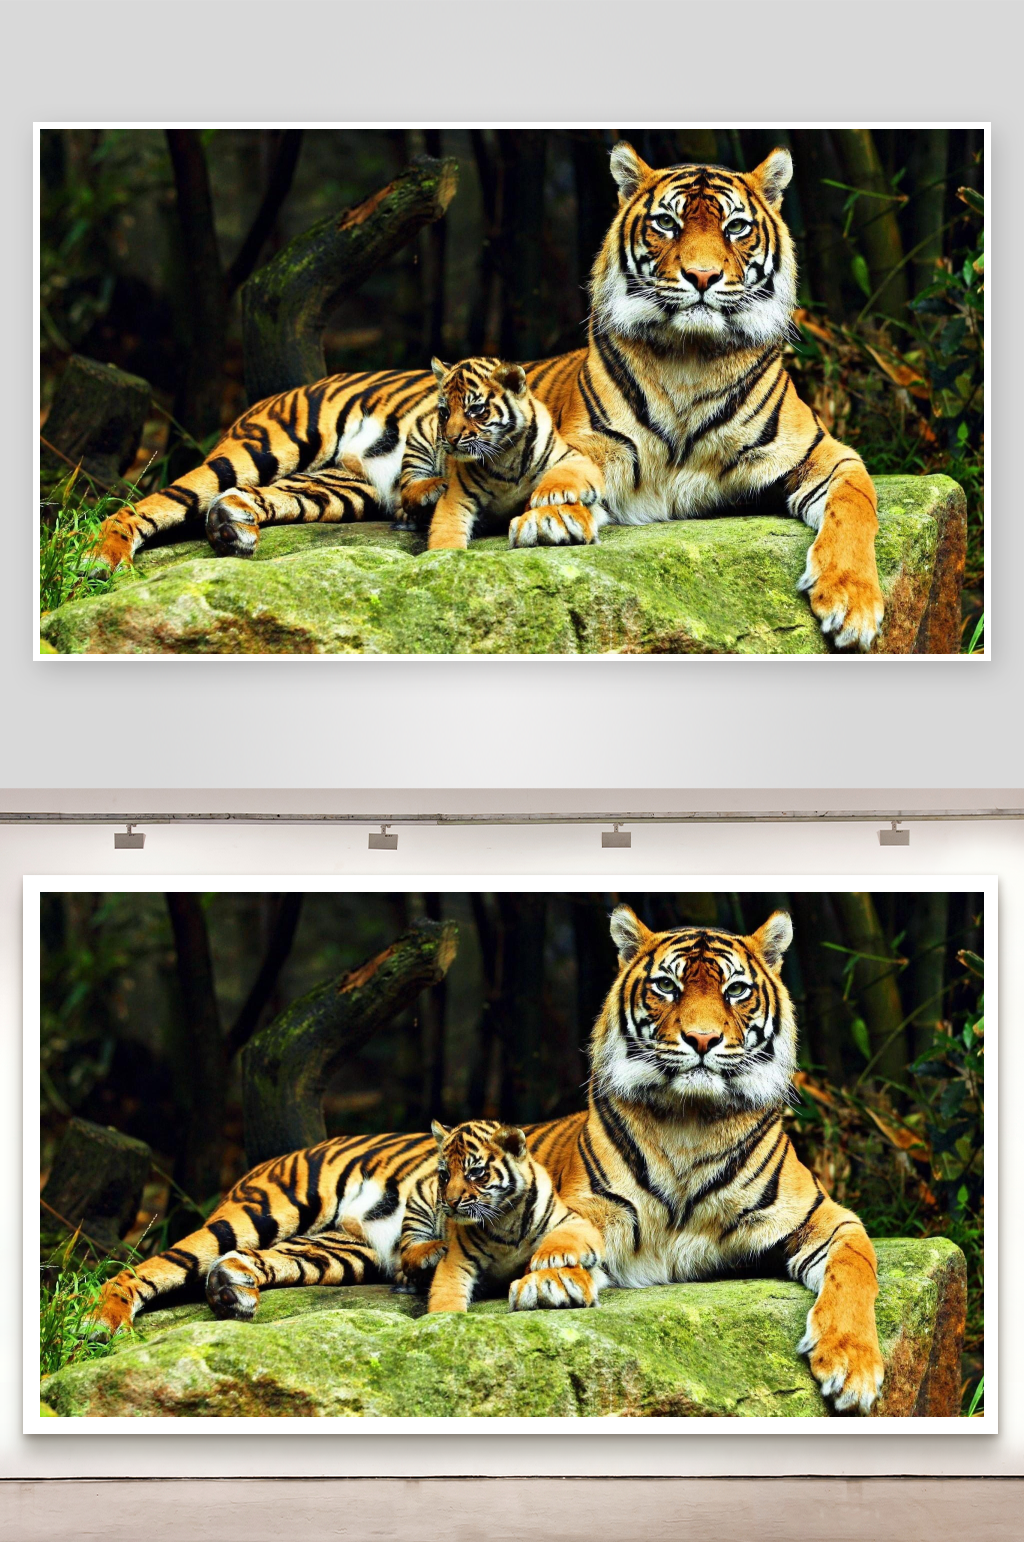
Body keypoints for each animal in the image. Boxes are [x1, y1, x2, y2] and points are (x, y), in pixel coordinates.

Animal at [395, 1118, 605, 1312]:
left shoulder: (574, 1220)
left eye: (475, 1172)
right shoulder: (458, 1260)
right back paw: (435, 1249)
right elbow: (446, 1295)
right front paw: (447, 1318)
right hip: (420, 1201)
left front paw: (549, 1257)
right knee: (406, 1253)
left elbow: (565, 1235)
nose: (451, 1201)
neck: (506, 1218)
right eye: (445, 1175)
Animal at [396, 356, 606, 551]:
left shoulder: (575, 458)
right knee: (406, 490)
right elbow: (446, 532)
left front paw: (549, 494)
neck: (506, 455)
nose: (451, 438)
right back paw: (435, 486)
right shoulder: (458, 497)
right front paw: (447, 556)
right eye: (445, 412)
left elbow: (565, 472)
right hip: (420, 438)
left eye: (475, 409)